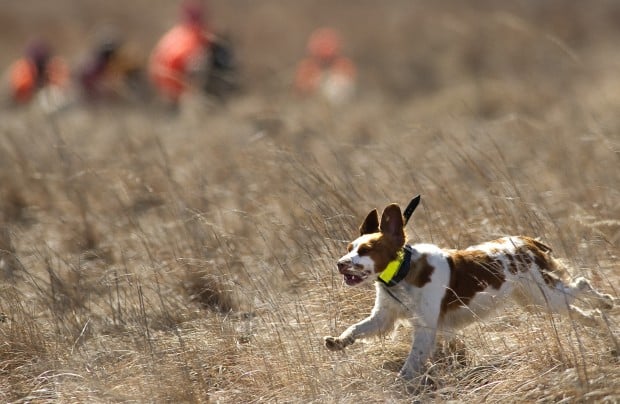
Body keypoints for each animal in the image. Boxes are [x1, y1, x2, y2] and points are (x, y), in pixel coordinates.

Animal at [324, 204, 616, 380]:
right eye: (349, 248)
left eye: (365, 250)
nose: (339, 263)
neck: (402, 275)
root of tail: (528, 241)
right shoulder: (384, 317)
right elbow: (356, 328)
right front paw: (337, 342)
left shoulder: (426, 326)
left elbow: (412, 361)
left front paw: (402, 383)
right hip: (537, 301)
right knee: (577, 308)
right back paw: (598, 322)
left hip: (545, 294)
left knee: (582, 285)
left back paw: (606, 303)